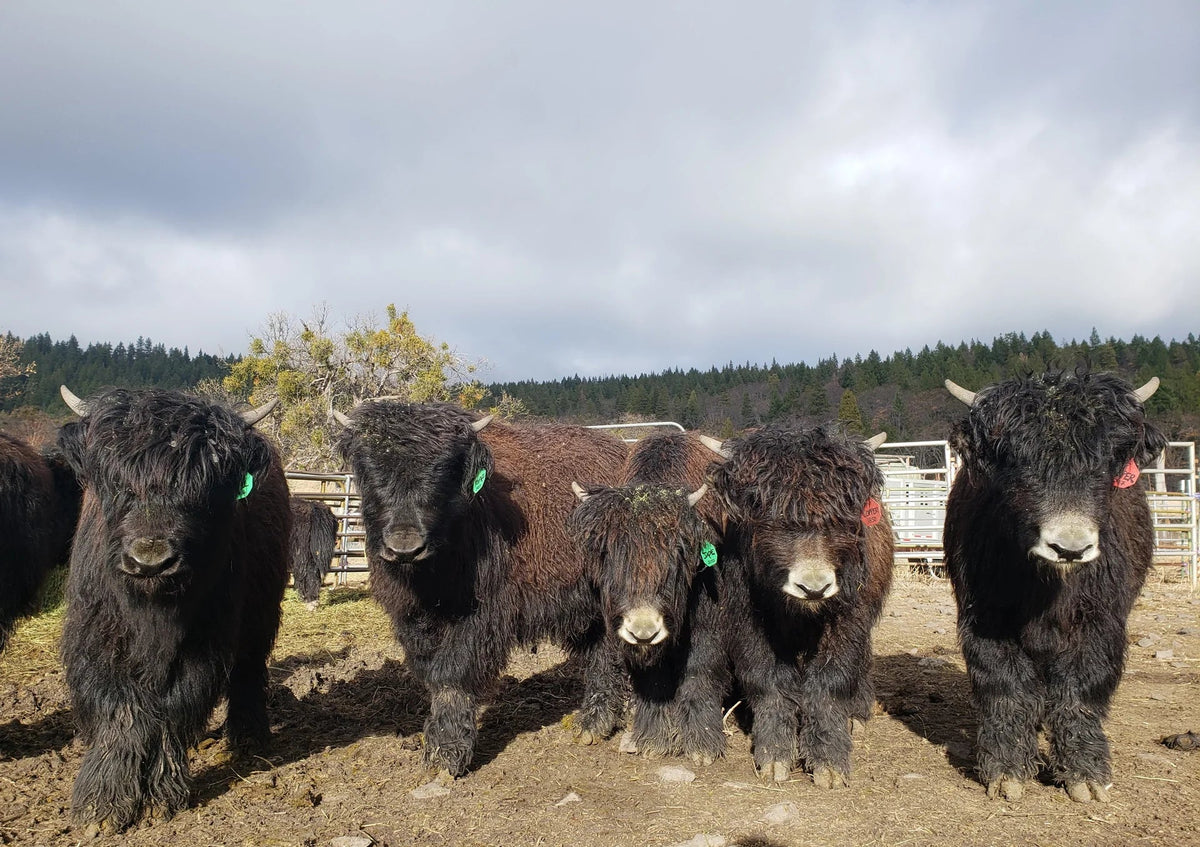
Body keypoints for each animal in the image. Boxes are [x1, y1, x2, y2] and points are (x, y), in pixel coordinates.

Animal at [57, 386, 290, 830]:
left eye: (201, 490)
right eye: (118, 484)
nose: (151, 561)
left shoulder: (204, 643)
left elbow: (173, 707)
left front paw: (157, 797)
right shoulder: (95, 639)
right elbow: (120, 710)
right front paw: (102, 805)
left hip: (260, 614)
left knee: (248, 671)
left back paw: (248, 738)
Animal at [333, 401, 628, 777]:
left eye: (443, 470)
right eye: (370, 469)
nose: (405, 546)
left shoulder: (479, 617)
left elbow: (452, 675)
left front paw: (446, 754)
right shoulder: (411, 620)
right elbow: (432, 673)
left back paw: (597, 721)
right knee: (600, 651)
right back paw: (593, 724)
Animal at [567, 431, 729, 765]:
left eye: (678, 552)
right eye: (607, 552)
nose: (644, 630)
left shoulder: (708, 619)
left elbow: (700, 668)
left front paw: (702, 744)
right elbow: (651, 677)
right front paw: (654, 738)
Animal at [707, 425, 893, 787]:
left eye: (841, 517)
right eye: (768, 515)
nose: (814, 588)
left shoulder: (848, 619)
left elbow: (830, 679)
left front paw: (829, 761)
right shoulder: (747, 619)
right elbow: (768, 679)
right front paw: (775, 755)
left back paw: (858, 712)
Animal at [943, 371, 1165, 803]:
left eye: (1105, 461)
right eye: (1017, 460)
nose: (1070, 547)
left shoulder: (1099, 623)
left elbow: (1081, 687)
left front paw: (1086, 777)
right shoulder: (986, 618)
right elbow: (1005, 684)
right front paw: (1007, 772)